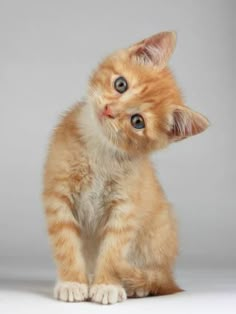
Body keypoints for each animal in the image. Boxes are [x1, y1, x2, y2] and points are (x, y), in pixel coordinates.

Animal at [42, 31, 208, 304]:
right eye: (121, 85)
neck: (99, 148)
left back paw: (136, 285)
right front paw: (72, 281)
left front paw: (106, 285)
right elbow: (65, 242)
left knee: (154, 279)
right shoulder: (59, 194)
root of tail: (169, 274)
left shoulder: (125, 207)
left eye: (137, 121)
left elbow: (113, 250)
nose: (109, 110)